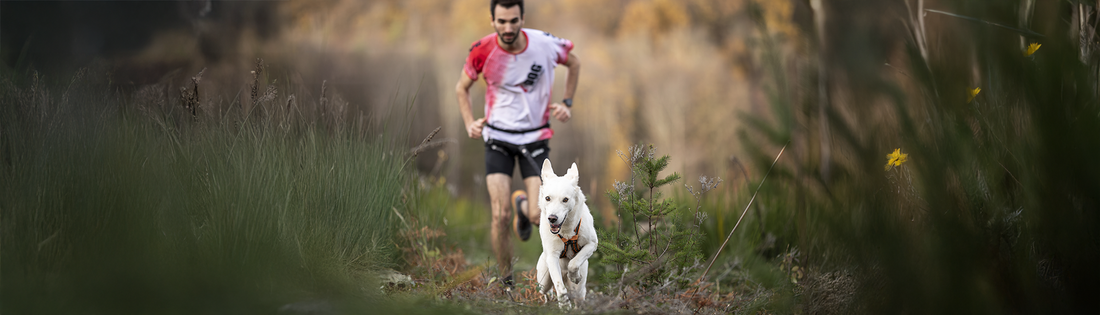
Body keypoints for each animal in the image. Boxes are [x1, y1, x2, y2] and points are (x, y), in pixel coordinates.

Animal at [534, 158, 598, 306]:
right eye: (547, 198)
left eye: (565, 199)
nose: (552, 218)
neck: (567, 231)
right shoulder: (552, 257)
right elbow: (559, 286)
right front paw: (564, 305)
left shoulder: (592, 244)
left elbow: (573, 263)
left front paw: (574, 276)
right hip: (543, 279)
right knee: (546, 291)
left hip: (579, 291)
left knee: (578, 296)